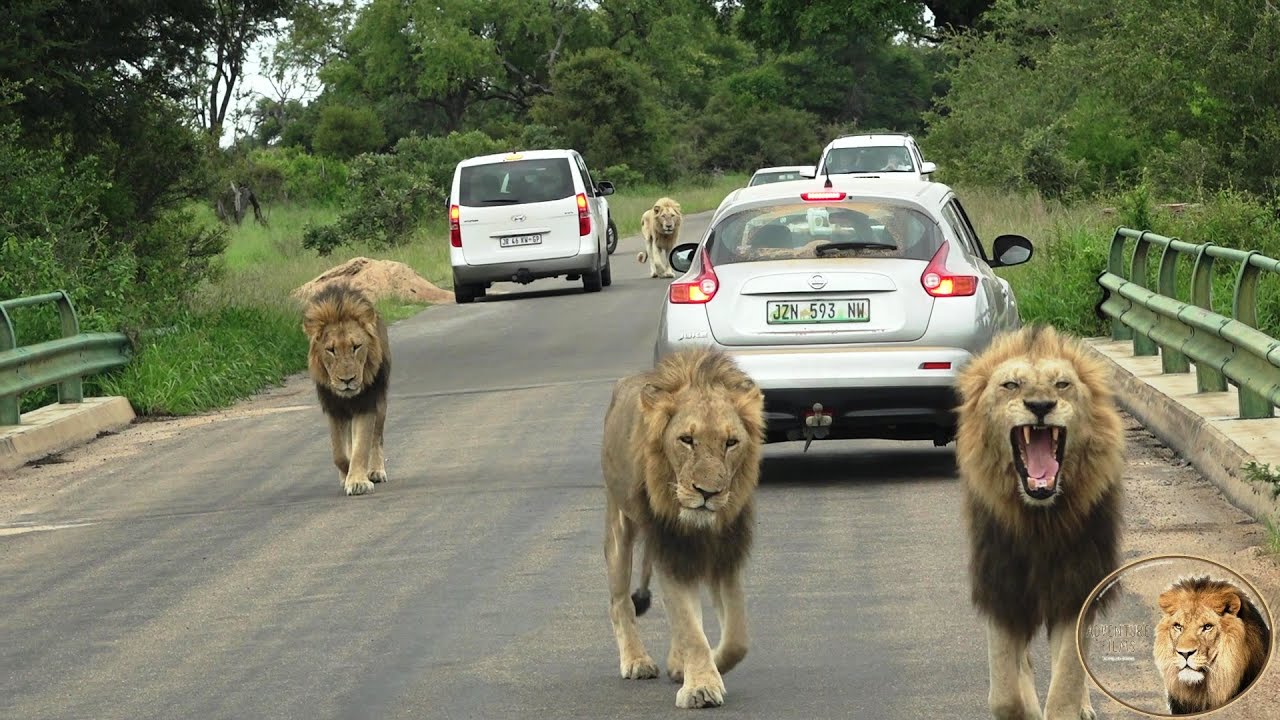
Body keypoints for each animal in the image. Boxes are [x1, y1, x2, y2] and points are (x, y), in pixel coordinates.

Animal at [302, 282, 391, 497]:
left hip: (381, 404)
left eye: (356, 346)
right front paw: (348, 475)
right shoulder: (334, 409)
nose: (347, 380)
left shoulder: (366, 404)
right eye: (331, 350)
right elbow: (339, 454)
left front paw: (358, 481)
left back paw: (375, 471)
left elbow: (362, 447)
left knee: (377, 438)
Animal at [600, 347, 765, 709]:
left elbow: (737, 638)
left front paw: (702, 668)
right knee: (620, 603)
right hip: (619, 525)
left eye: (731, 442)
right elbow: (691, 629)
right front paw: (701, 687)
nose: (708, 493)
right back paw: (636, 661)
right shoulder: (671, 550)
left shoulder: (725, 555)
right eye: (686, 440)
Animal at [954, 324, 1126, 720]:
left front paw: (1068, 704)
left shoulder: (1076, 588)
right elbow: (1005, 693)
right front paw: (1025, 707)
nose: (1040, 406)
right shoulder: (1002, 591)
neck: (1039, 521)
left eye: (1062, 384)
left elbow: (1066, 683)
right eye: (1011, 385)